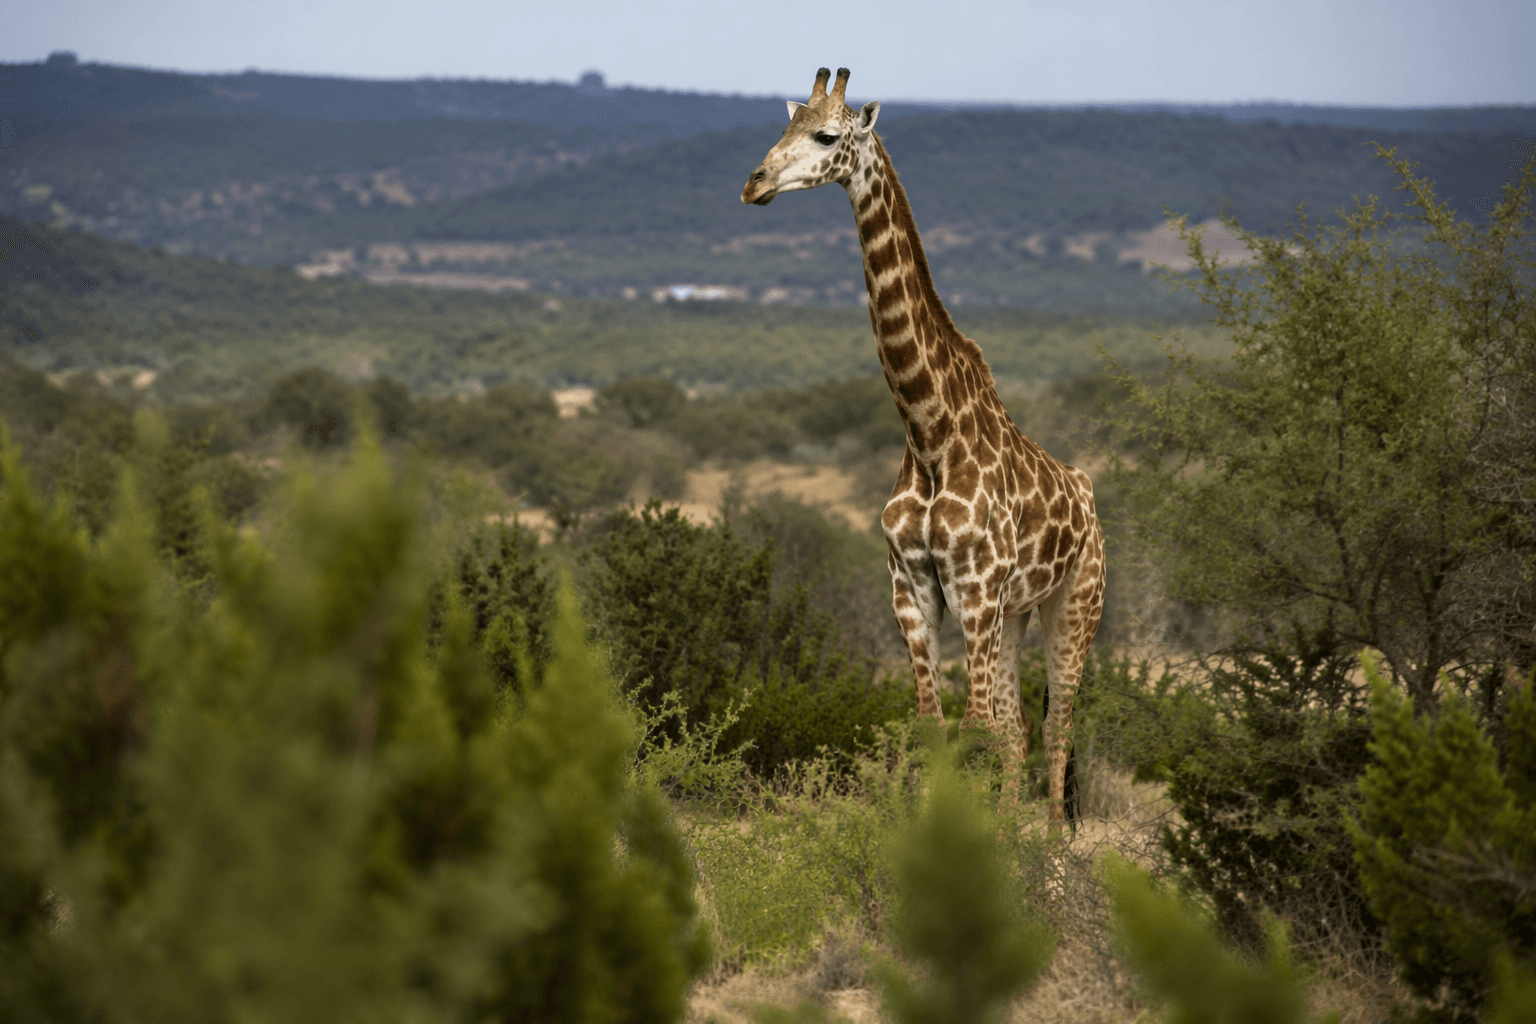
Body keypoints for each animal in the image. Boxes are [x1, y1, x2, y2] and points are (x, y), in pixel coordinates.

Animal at [742, 68, 1105, 828]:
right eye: (785, 126)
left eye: (827, 135)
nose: (753, 184)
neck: (929, 430)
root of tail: (1088, 493)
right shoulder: (911, 588)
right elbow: (933, 725)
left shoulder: (974, 589)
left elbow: (976, 727)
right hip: (1016, 612)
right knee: (1018, 726)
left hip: (1074, 600)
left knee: (1054, 728)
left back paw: (1051, 846)